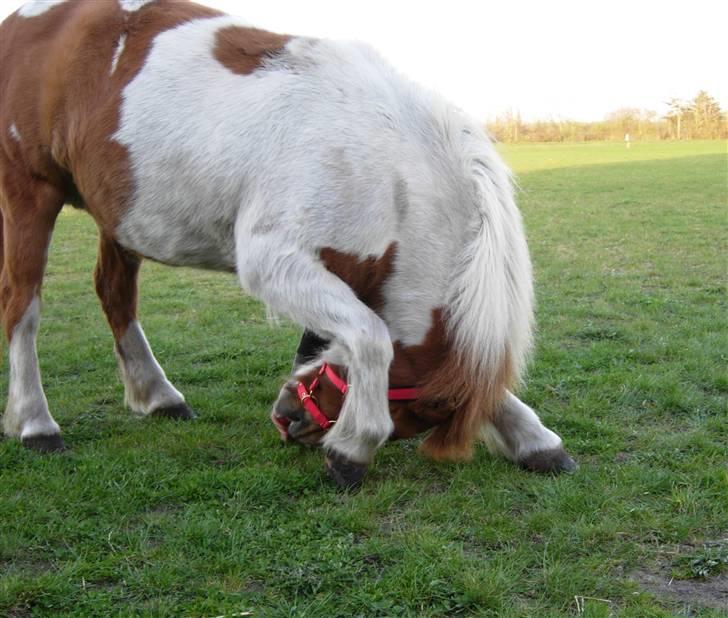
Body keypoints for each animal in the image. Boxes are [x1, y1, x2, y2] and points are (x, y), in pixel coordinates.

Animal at [1, 0, 576, 486]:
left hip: (116, 216)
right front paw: (352, 449)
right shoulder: (272, 263)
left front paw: (532, 438)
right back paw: (35, 423)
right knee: (22, 305)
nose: (288, 419)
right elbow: (371, 336)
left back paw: (157, 395)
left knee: (115, 293)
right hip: (29, 192)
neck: (386, 165)